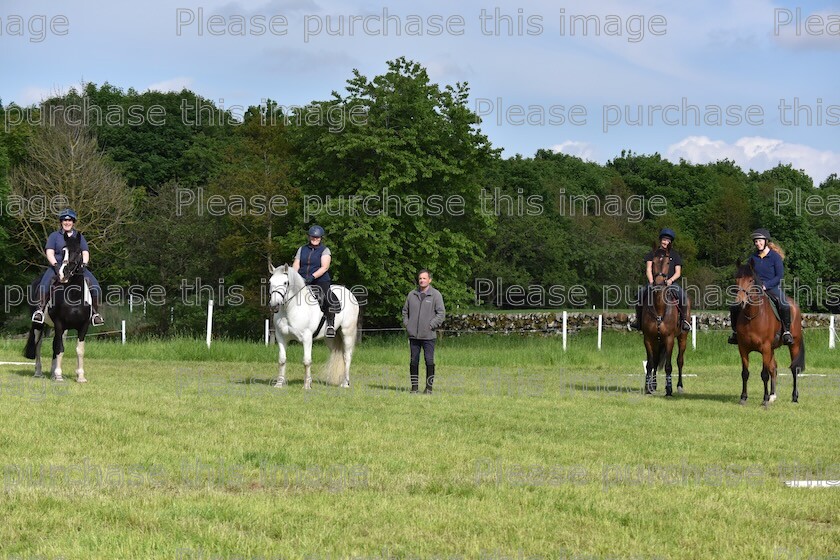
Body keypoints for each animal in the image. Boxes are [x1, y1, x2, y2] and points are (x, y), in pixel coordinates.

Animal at [24, 230, 92, 382]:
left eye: (78, 252)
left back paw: (52, 372)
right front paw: (59, 376)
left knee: (54, 344)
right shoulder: (60, 323)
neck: (74, 296)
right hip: (39, 325)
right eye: (63, 251)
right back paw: (39, 372)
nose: (63, 274)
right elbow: (59, 348)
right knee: (38, 345)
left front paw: (80, 376)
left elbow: (79, 350)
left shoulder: (83, 326)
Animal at [644, 247, 688, 396]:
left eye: (669, 262)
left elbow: (669, 366)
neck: (659, 308)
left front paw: (669, 389)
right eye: (653, 261)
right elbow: (650, 364)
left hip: (682, 337)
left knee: (680, 361)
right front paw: (648, 388)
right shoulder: (648, 339)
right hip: (658, 341)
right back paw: (654, 385)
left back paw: (679, 386)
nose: (658, 284)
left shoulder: (669, 339)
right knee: (656, 361)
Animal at [732, 260, 804, 404]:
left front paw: (764, 399)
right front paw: (743, 397)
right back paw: (772, 395)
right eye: (737, 279)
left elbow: (764, 374)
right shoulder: (743, 348)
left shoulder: (764, 348)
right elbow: (745, 373)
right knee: (774, 368)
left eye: (750, 280)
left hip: (794, 344)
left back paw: (794, 397)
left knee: (794, 369)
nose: (740, 302)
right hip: (772, 349)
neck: (752, 316)